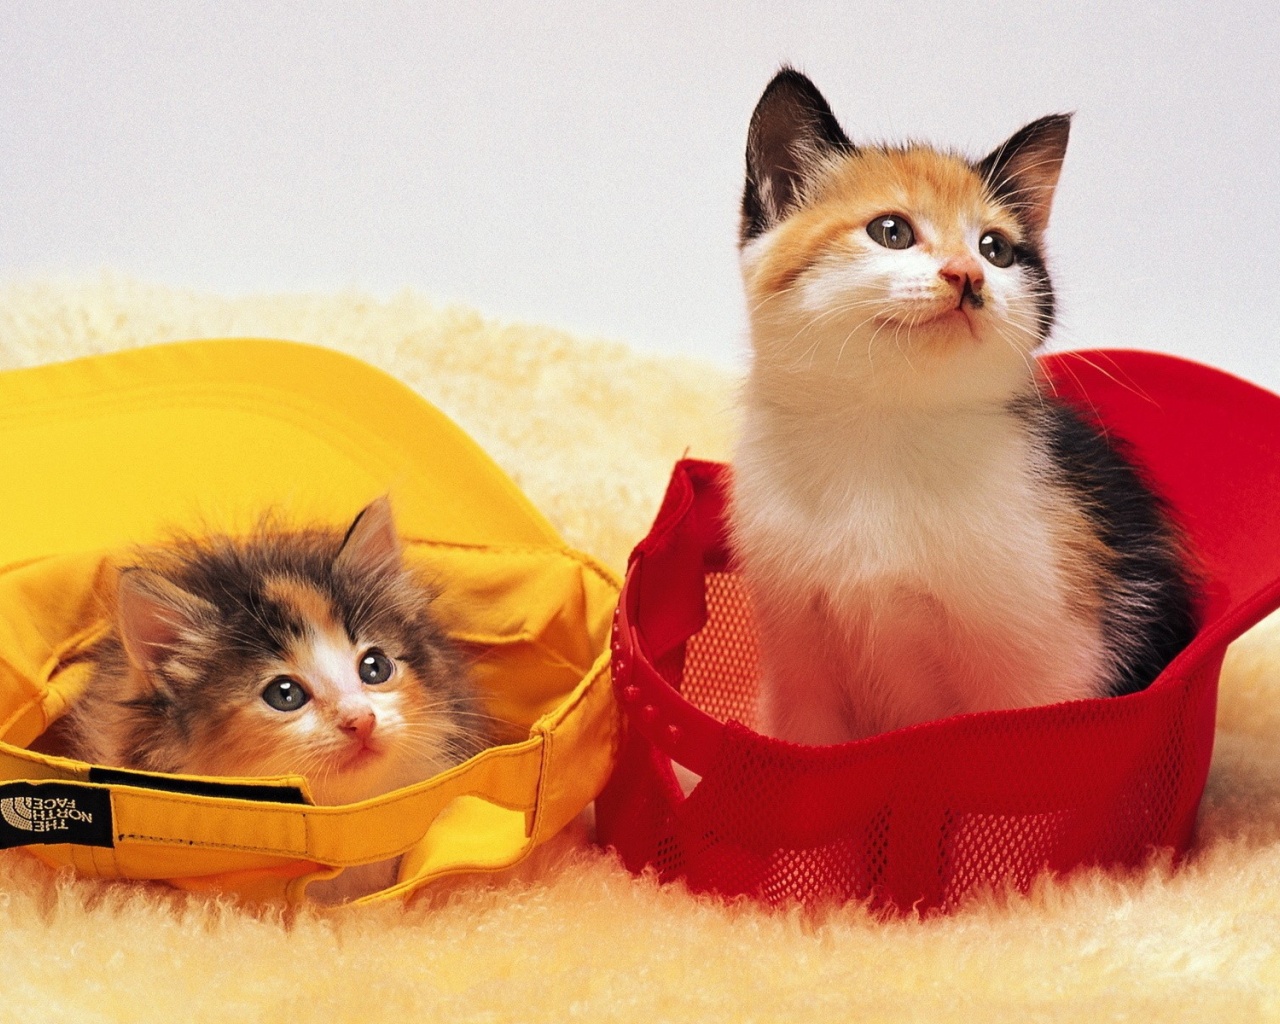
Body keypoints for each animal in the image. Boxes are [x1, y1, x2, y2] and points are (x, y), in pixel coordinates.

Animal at [732, 70, 1198, 742]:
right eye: (892, 232)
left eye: (996, 249)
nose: (967, 276)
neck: (885, 428)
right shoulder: (798, 656)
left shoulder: (1047, 660)